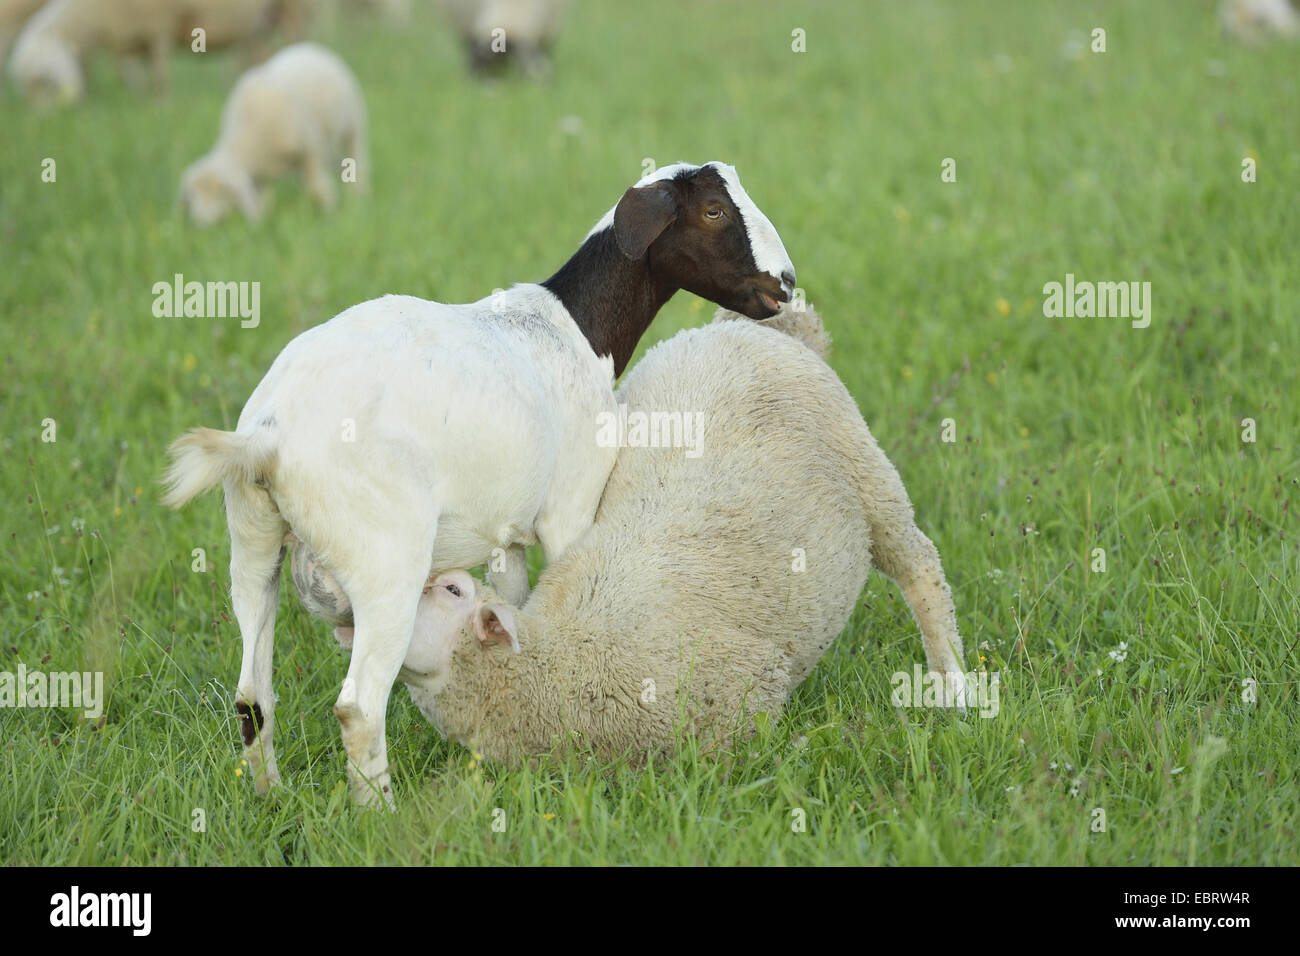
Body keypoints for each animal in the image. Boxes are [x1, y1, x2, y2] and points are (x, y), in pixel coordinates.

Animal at [9, 0, 284, 105]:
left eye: (46, 81)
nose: (45, 123)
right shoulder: (129, 39)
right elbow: (132, 77)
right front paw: (140, 102)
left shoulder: (157, 27)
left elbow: (160, 75)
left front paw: (162, 106)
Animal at [158, 162, 795, 806]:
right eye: (713, 211)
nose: (786, 285)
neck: (576, 329)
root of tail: (266, 436)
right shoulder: (569, 510)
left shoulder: (504, 535)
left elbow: (513, 604)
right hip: (385, 562)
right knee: (358, 706)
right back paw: (378, 812)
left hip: (251, 546)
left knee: (251, 695)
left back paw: (271, 797)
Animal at [178, 41, 371, 226]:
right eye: (193, 195)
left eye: (222, 191)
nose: (199, 222)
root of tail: (310, 46)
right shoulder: (262, 173)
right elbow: (261, 203)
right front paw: (260, 226)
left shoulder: (311, 149)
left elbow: (318, 189)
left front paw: (329, 215)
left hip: (353, 123)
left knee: (357, 159)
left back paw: (358, 197)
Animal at [314, 306, 967, 770]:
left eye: (451, 590)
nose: (348, 613)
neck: (566, 661)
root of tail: (745, 327)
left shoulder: (748, 698)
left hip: (870, 478)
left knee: (924, 572)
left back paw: (953, 686)